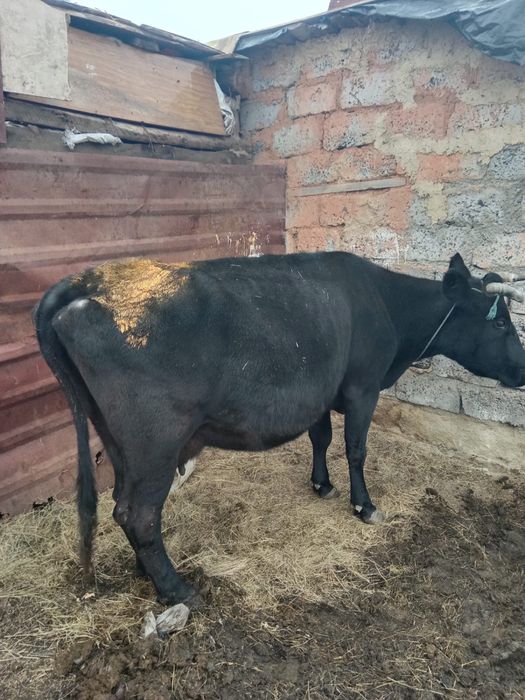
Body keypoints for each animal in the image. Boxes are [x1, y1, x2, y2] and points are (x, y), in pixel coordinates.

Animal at [34, 252, 525, 606]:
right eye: (501, 321)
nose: (522, 371)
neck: (384, 303)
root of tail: (85, 282)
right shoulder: (363, 386)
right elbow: (356, 448)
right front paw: (364, 505)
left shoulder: (320, 391)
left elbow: (321, 438)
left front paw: (321, 485)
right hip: (155, 441)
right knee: (137, 512)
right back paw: (178, 590)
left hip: (117, 440)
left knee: (124, 504)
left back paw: (147, 571)